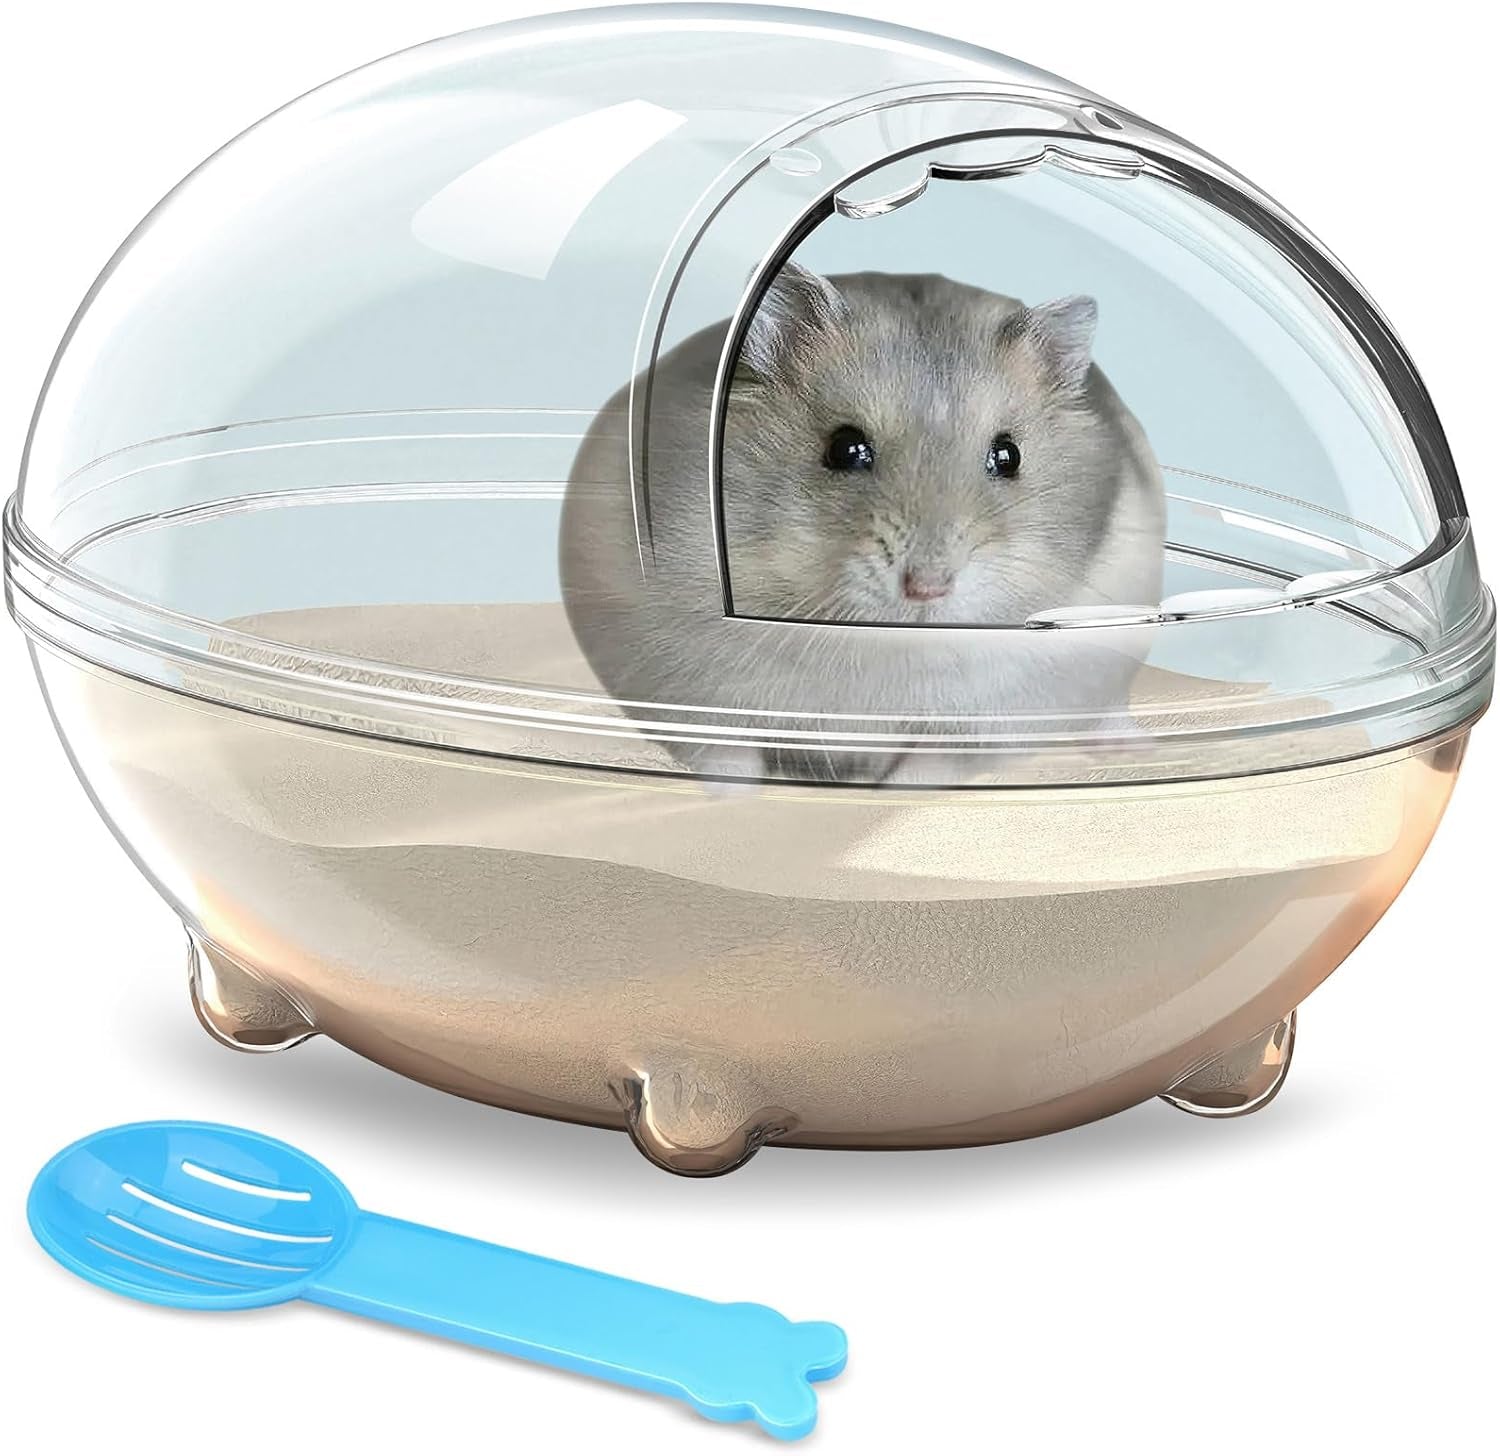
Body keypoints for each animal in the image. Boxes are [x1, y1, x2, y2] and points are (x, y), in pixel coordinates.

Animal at [560, 264, 1165, 784]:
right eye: (844, 448)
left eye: (1009, 456)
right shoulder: (682, 690)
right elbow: (726, 759)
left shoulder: (993, 722)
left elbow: (927, 770)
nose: (927, 588)